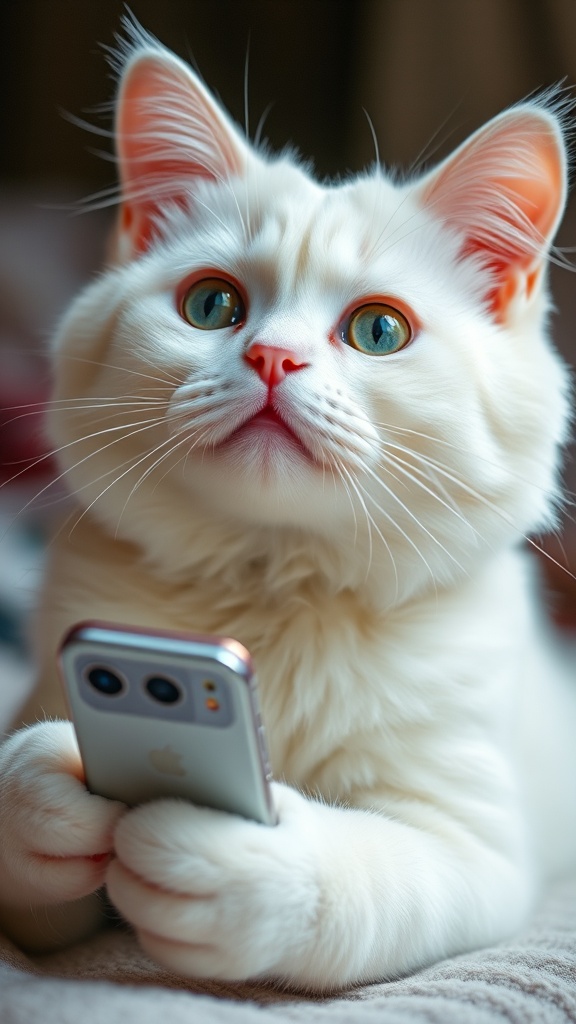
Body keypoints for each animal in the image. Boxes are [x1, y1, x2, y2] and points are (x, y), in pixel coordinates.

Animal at [1, 18, 573, 991]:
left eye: (379, 330)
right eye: (211, 305)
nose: (273, 357)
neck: (275, 586)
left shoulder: (475, 844)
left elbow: (365, 879)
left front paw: (235, 863)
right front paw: (49, 783)